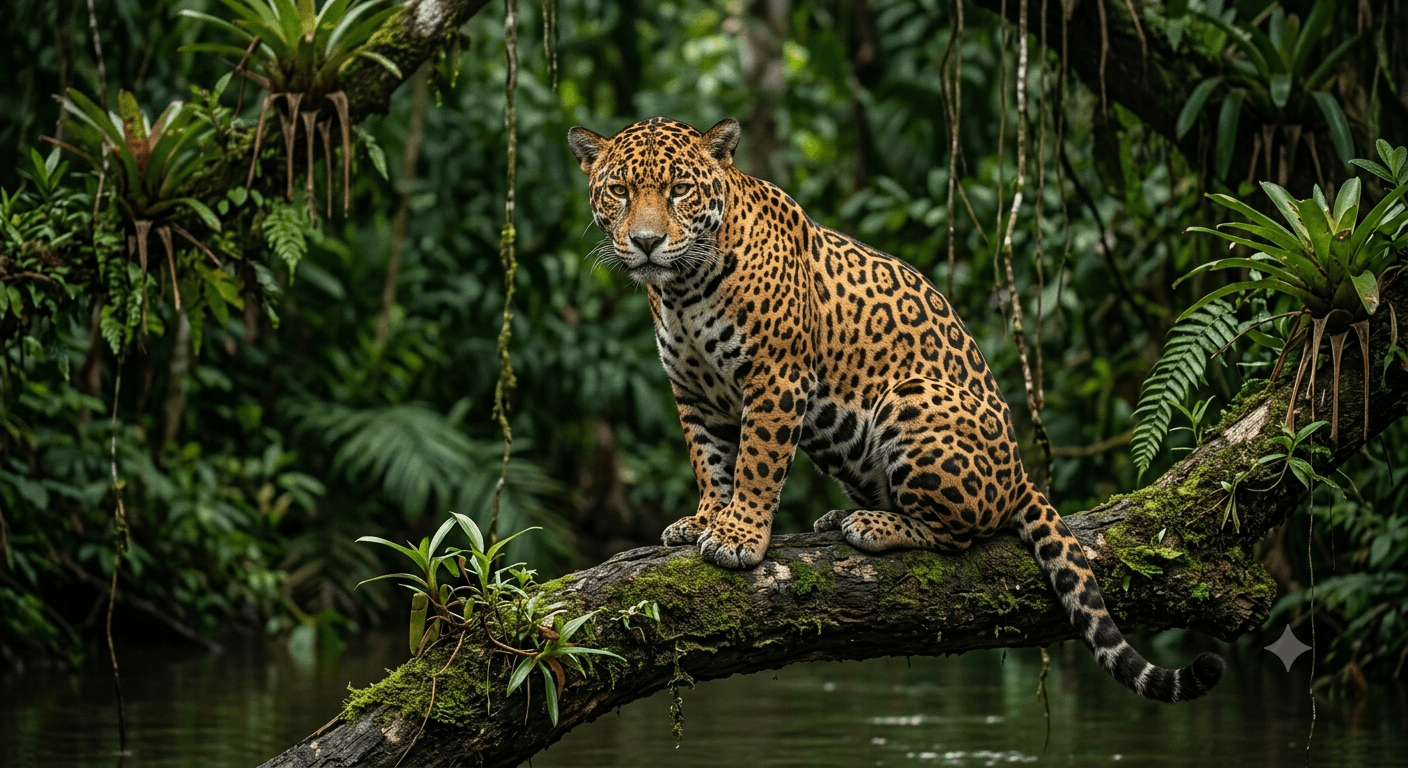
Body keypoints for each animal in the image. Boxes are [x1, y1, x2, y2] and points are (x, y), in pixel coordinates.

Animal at [567, 116, 1224, 703]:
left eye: (680, 189)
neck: (680, 289)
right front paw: (705, 518)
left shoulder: (777, 378)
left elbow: (756, 462)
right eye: (619, 190)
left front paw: (739, 536)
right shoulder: (694, 392)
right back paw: (842, 516)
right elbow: (709, 461)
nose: (646, 242)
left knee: (961, 536)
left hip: (912, 399)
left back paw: (871, 526)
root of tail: (1020, 474)